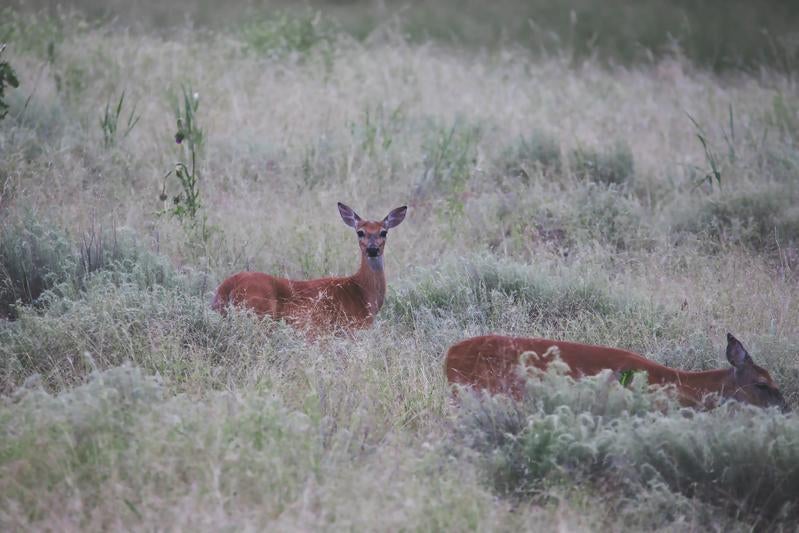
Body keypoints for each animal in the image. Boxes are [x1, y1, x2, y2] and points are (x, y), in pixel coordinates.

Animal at [212, 203, 406, 332]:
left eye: (384, 232)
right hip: (258, 312)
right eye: (360, 232)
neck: (363, 292)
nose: (372, 249)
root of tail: (227, 287)